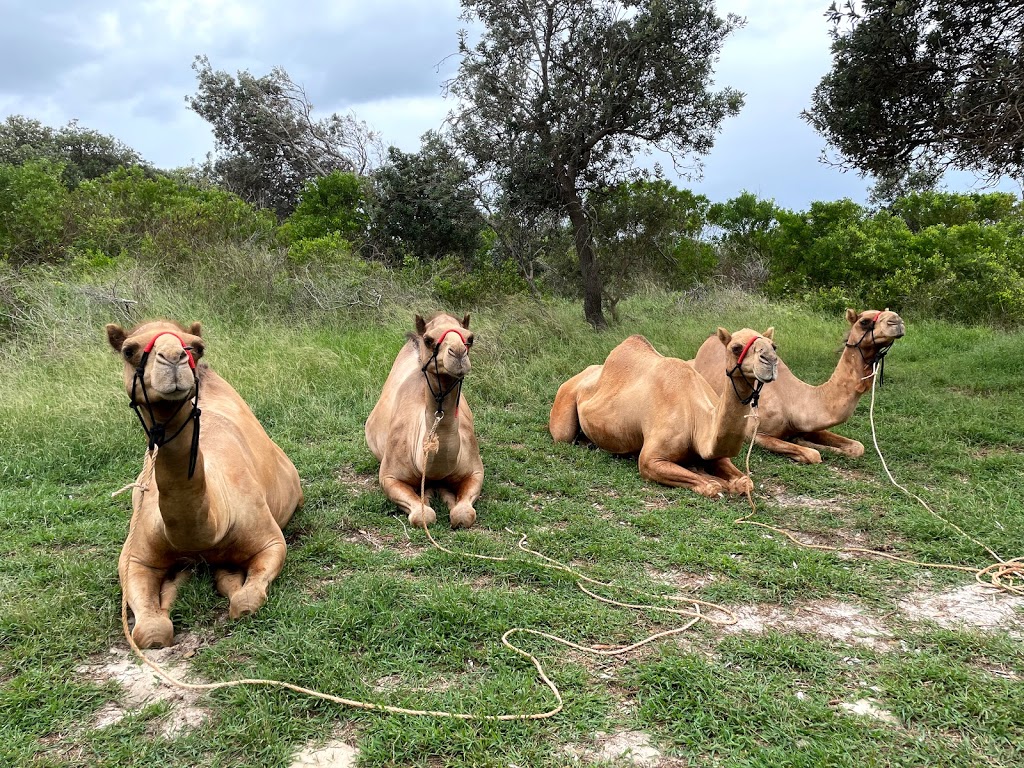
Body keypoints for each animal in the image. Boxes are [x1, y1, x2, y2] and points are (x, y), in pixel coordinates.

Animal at [105, 319, 301, 651]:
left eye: (196, 347)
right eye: (128, 350)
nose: (174, 358)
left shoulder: (270, 540)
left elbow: (246, 601)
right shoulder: (134, 555)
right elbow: (151, 631)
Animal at [364, 313, 483, 528]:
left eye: (470, 338)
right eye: (428, 340)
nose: (458, 353)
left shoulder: (475, 472)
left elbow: (463, 514)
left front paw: (449, 500)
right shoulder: (389, 477)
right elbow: (423, 515)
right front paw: (426, 499)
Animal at [552, 331, 774, 499]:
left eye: (774, 345)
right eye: (736, 347)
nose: (770, 360)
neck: (697, 420)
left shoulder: (714, 452)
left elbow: (745, 482)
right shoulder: (650, 460)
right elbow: (712, 486)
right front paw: (710, 478)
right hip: (565, 405)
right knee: (563, 435)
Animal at [692, 309, 909, 466]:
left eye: (774, 346)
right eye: (864, 321)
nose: (897, 320)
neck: (793, 400)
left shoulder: (808, 426)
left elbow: (858, 447)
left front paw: (804, 440)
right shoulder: (755, 433)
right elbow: (813, 454)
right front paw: (802, 444)